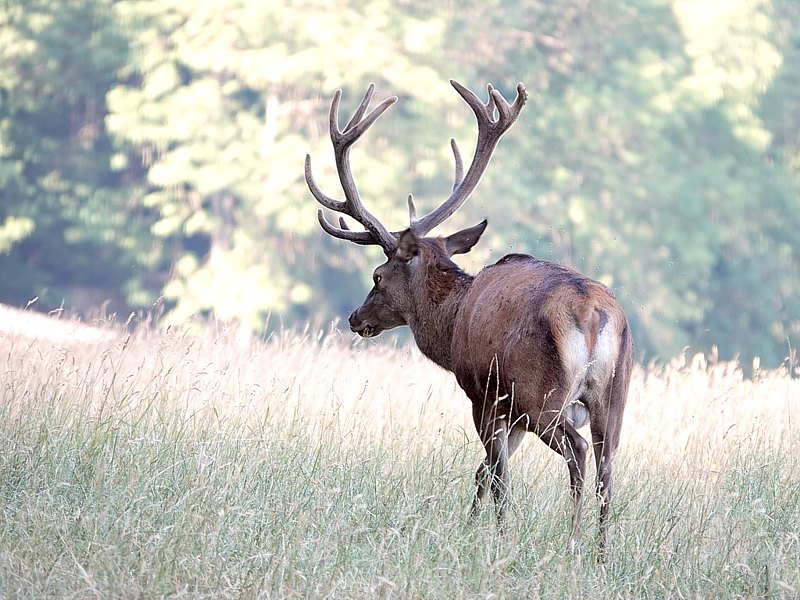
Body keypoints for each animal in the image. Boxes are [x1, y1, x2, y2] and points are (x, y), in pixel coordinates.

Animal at [304, 79, 634, 556]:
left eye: (378, 275)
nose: (354, 318)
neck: (452, 320)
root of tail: (594, 316)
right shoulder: (510, 411)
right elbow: (484, 471)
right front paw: (470, 526)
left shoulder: (484, 394)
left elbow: (496, 473)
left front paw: (498, 534)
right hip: (615, 394)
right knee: (608, 465)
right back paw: (601, 552)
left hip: (545, 396)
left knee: (578, 454)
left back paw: (571, 540)